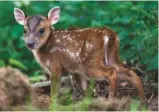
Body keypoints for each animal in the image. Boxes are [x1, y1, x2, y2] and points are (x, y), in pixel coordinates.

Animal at [13, 6, 145, 102]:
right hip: (111, 55)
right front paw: (86, 102)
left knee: (111, 72)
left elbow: (55, 89)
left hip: (90, 62)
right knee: (129, 72)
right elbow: (83, 89)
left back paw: (111, 100)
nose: (30, 43)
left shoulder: (55, 65)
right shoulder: (75, 71)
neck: (47, 46)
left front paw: (52, 103)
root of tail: (108, 34)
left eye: (41, 30)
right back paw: (142, 99)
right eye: (24, 30)